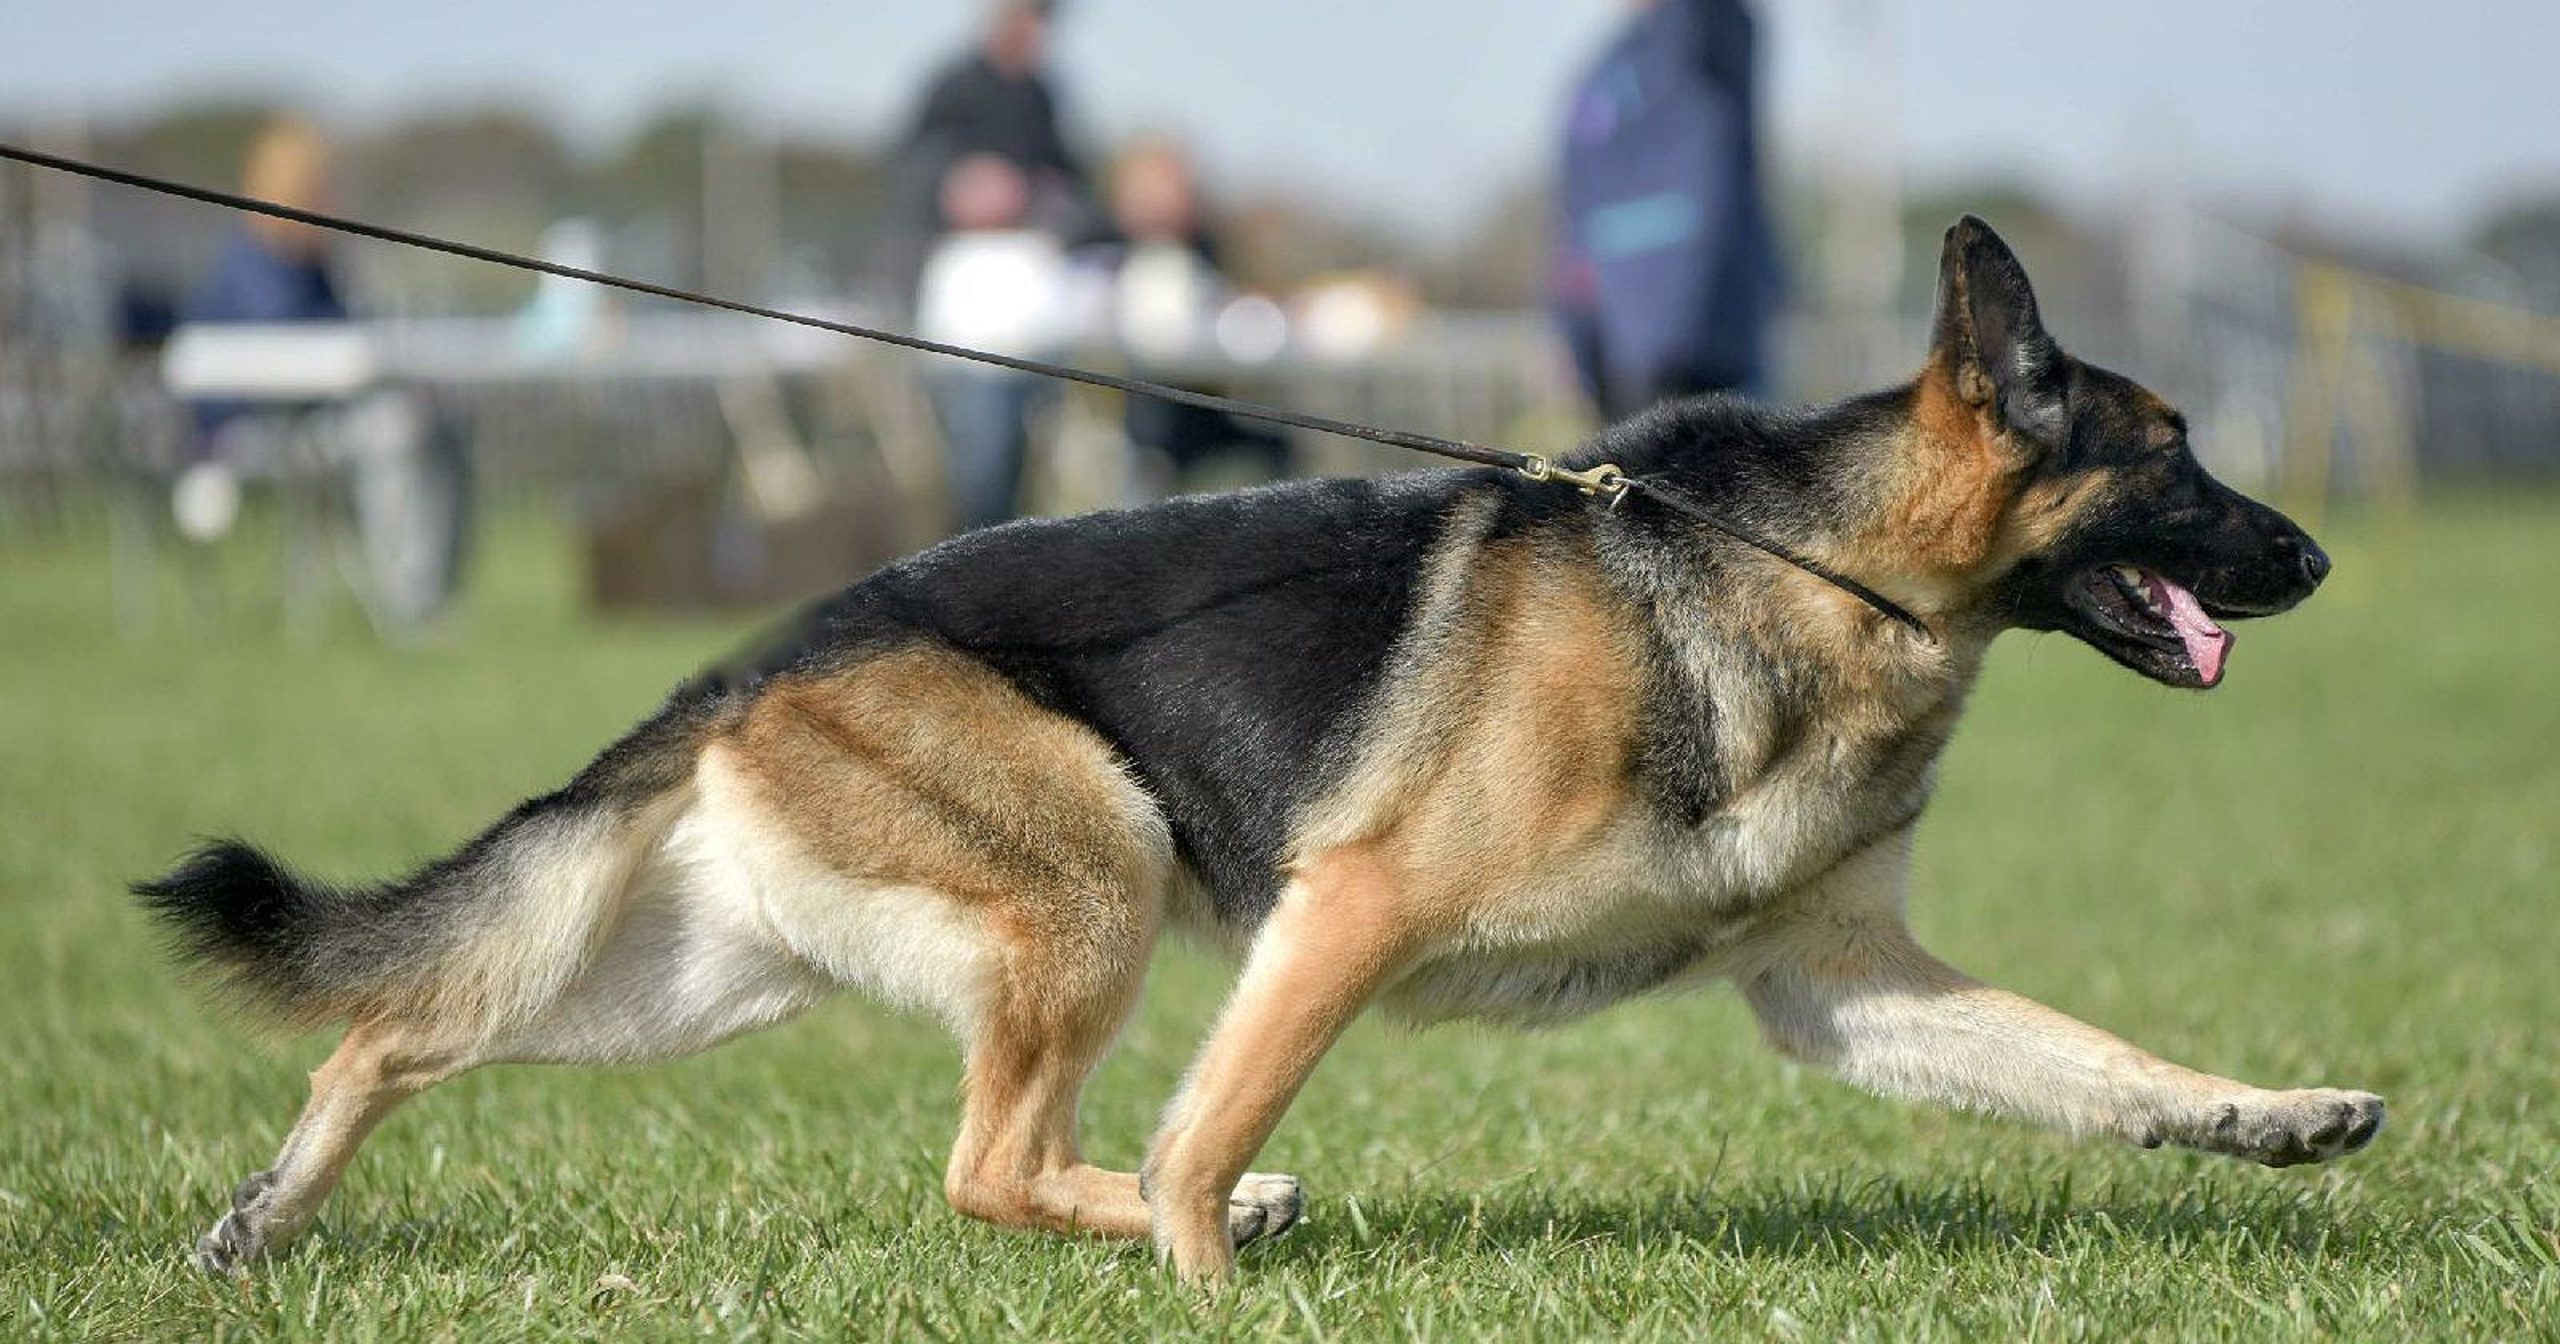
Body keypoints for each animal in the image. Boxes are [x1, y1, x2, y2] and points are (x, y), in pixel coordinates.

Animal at [140, 217, 2375, 1280]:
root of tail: (783, 643)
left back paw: (261, 1218)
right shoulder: (1347, 910)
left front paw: (2268, 1115)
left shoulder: (1841, 987)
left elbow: (2096, 1067)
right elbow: (1204, 1136)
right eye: (2177, 460)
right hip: (1098, 879)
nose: (2321, 557)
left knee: (394, 1031)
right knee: (999, 1163)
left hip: (710, 978)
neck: (1806, 569)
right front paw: (1211, 1270)